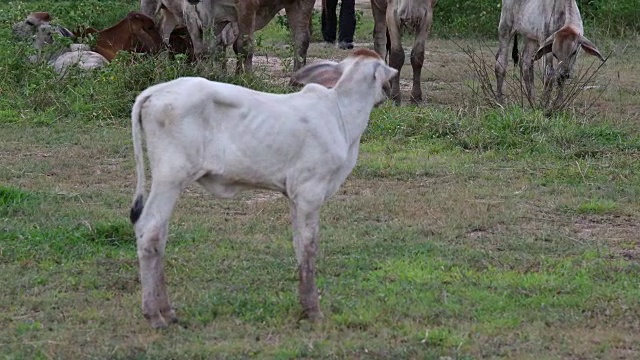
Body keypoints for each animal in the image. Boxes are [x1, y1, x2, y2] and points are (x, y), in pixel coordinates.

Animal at [128, 48, 398, 330]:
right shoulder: (310, 192)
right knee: (150, 230)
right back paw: (154, 315)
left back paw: (168, 311)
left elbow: (298, 244)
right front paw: (313, 310)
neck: (340, 115)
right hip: (170, 176)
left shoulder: (294, 195)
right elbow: (309, 245)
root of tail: (155, 91)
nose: (390, 93)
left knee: (158, 233)